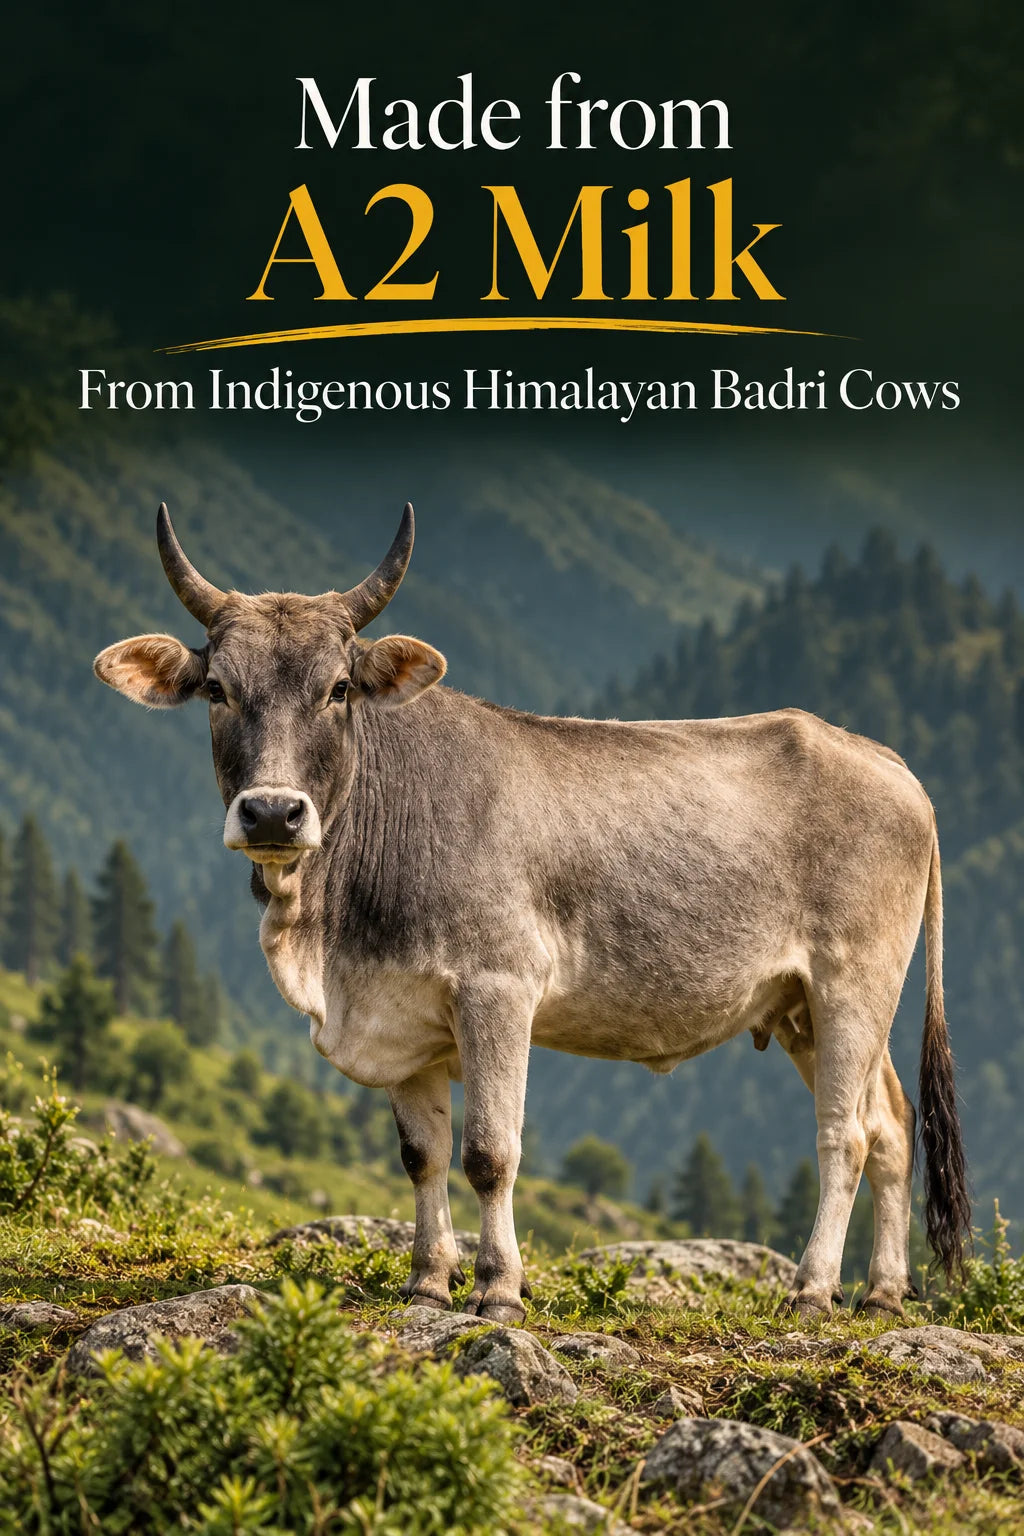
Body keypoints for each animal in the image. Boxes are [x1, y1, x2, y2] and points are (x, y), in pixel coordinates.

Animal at [94, 502, 970, 1321]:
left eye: (338, 688)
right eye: (217, 689)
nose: (273, 813)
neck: (330, 943)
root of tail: (889, 763)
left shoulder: (497, 987)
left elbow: (490, 1152)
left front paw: (498, 1290)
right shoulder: (402, 1012)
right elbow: (422, 1155)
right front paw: (427, 1283)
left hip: (854, 982)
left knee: (845, 1133)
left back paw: (814, 1290)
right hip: (798, 1006)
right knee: (893, 1125)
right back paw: (883, 1294)